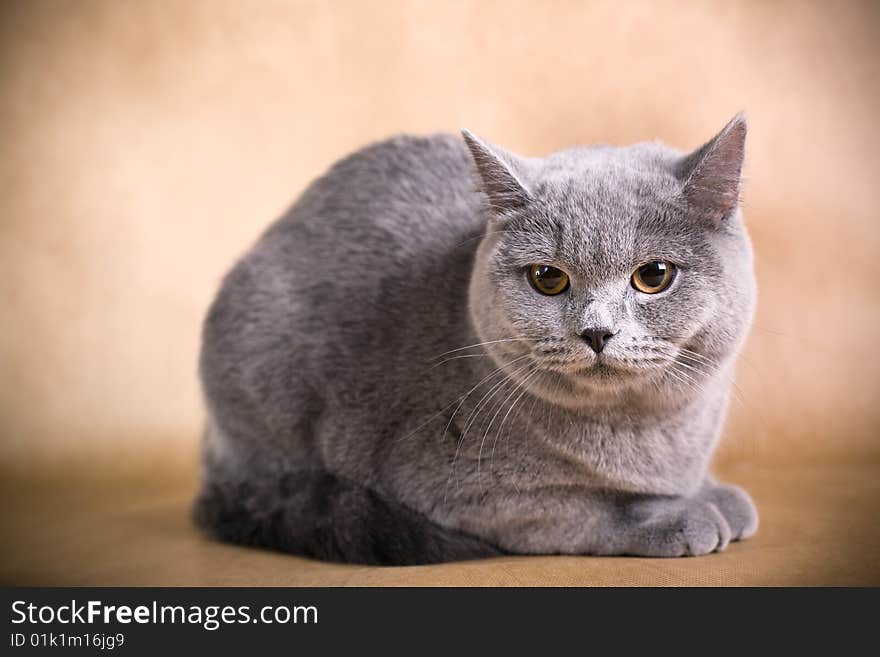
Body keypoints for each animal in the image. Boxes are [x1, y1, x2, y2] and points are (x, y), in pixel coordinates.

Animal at [192, 113, 756, 564]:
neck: (647, 433)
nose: (597, 331)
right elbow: (587, 507)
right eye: (547, 278)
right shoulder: (460, 489)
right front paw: (681, 514)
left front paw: (712, 493)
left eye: (654, 275)